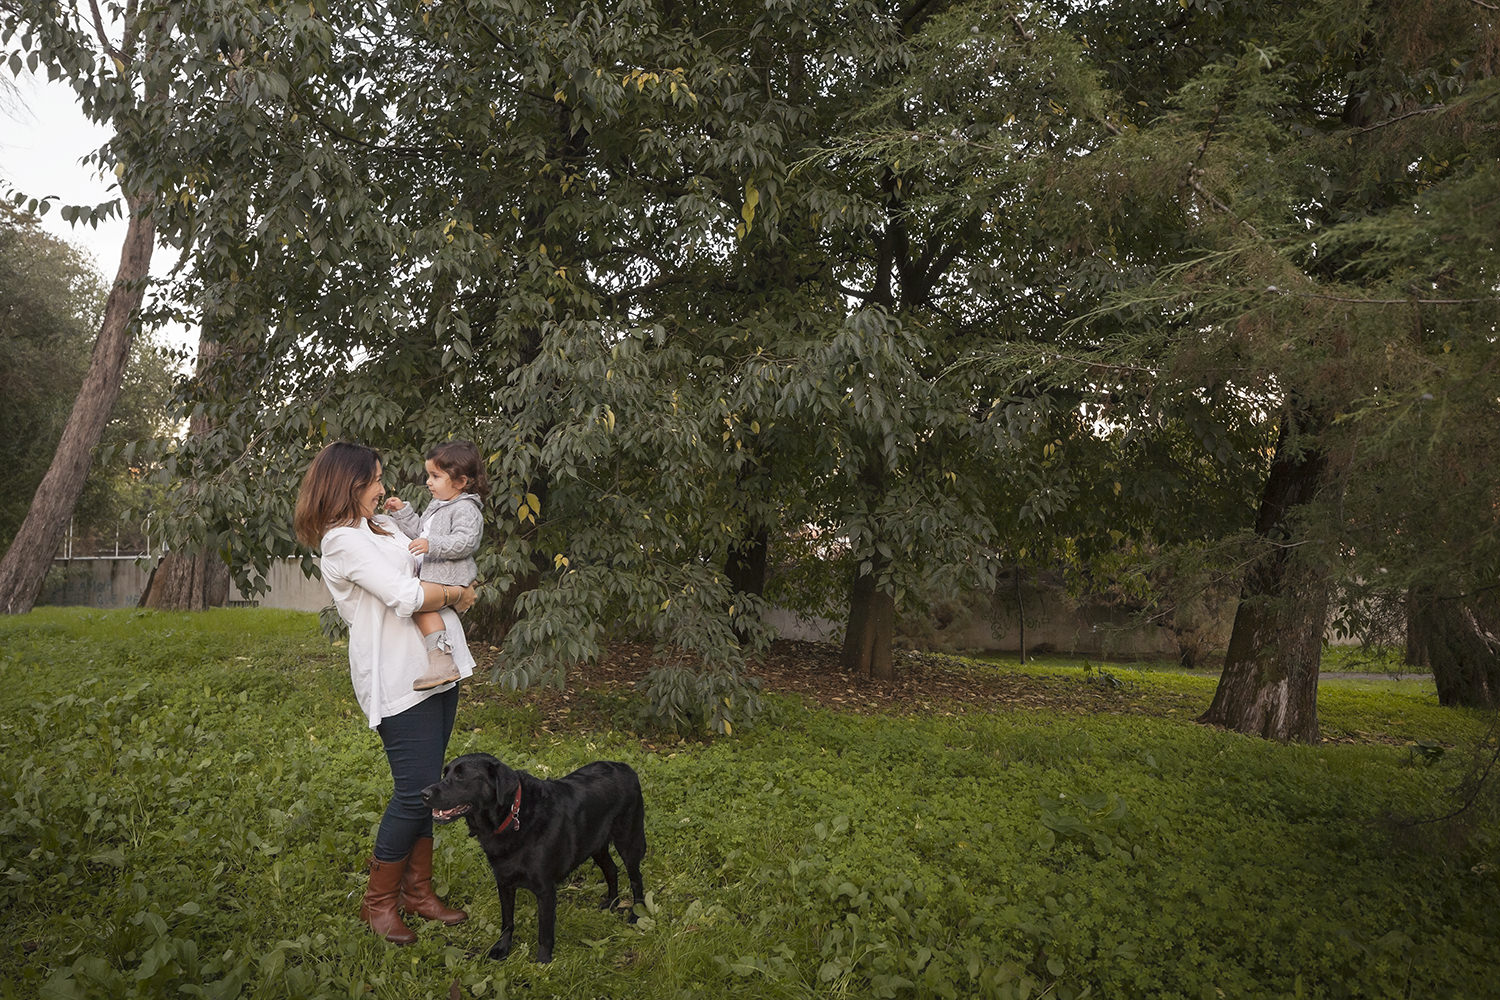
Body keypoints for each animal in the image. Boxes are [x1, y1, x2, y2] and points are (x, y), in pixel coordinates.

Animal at [429, 755, 651, 965]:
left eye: (461, 776)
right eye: (445, 773)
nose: (424, 794)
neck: (512, 816)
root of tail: (626, 767)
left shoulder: (546, 890)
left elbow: (544, 931)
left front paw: (543, 961)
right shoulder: (504, 882)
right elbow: (507, 921)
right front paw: (502, 948)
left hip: (628, 840)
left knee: (636, 878)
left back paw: (636, 913)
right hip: (595, 844)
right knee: (612, 869)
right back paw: (611, 902)